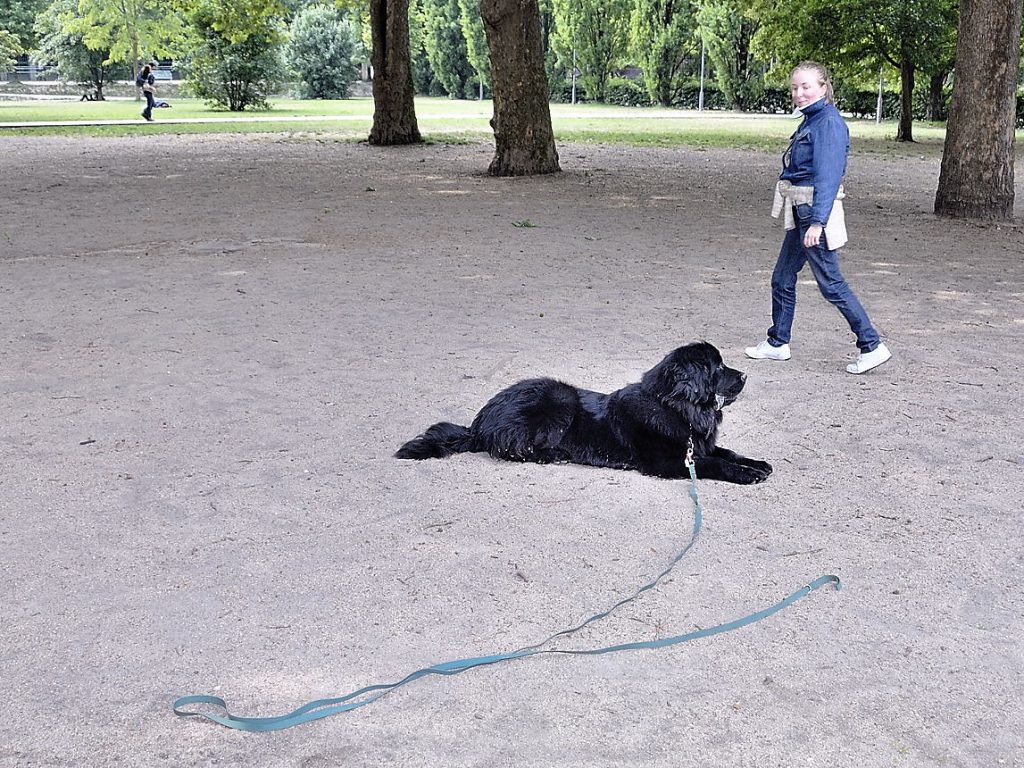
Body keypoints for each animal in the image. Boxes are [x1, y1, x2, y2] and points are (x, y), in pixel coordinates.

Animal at [395, 344, 770, 483]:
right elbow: (713, 463)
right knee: (514, 448)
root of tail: (480, 421)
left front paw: (757, 463)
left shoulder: (699, 443)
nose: (745, 376)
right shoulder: (668, 462)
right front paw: (746, 473)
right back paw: (555, 455)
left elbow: (726, 451)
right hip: (559, 398)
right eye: (717, 367)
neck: (675, 407)